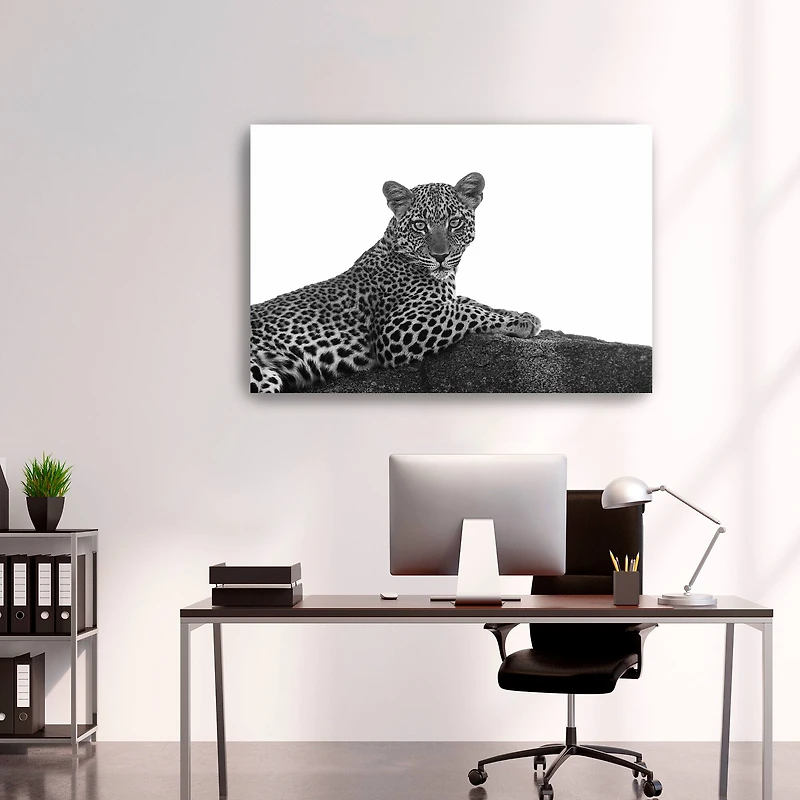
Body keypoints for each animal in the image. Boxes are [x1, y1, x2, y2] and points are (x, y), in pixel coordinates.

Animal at [249, 172, 541, 393]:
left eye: (455, 222)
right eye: (420, 225)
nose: (440, 256)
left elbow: (472, 302)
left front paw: (522, 314)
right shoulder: (396, 331)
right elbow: (467, 311)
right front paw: (519, 323)